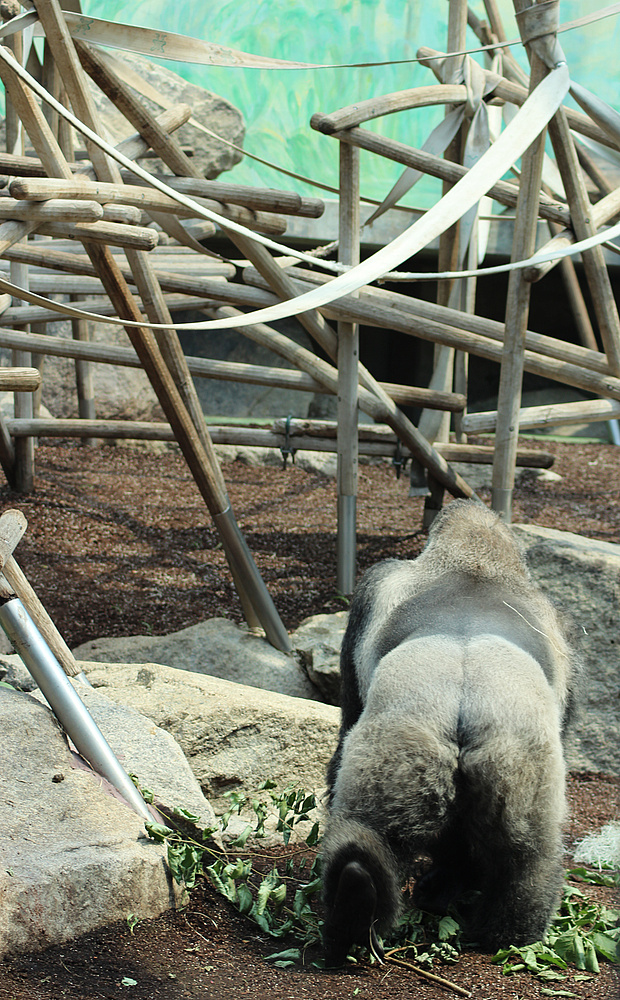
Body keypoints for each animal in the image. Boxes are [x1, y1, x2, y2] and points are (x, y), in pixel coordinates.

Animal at [322, 500, 580, 968]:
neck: (474, 562)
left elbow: (347, 721)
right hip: (495, 754)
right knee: (526, 852)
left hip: (419, 744)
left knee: (375, 828)